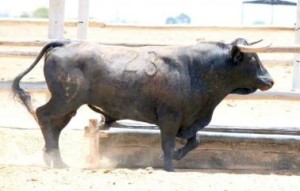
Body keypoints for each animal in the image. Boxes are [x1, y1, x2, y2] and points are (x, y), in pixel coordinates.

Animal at [12, 38, 274, 171]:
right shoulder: (169, 118)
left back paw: (56, 159)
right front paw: (169, 165)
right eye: (253, 58)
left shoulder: (187, 120)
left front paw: (177, 156)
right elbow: (168, 143)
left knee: (54, 126)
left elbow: (194, 141)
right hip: (65, 100)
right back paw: (54, 160)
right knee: (44, 116)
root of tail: (64, 44)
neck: (195, 69)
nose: (269, 80)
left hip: (70, 105)